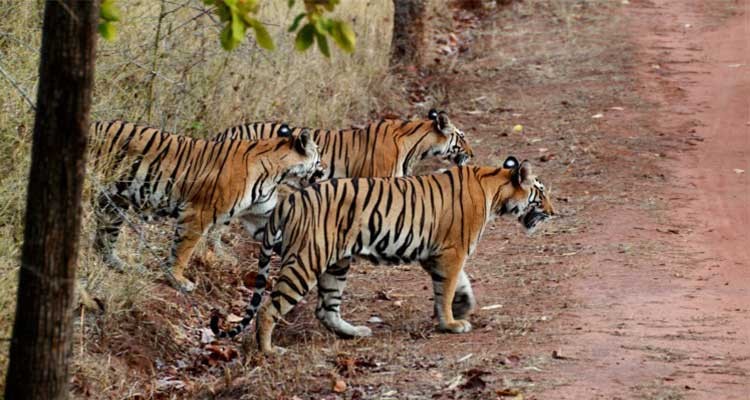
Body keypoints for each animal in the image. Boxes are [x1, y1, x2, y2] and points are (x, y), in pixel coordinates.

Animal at [88, 120, 324, 292]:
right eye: (319, 158)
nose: (323, 173)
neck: (277, 172)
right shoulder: (198, 213)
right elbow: (183, 250)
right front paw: (178, 280)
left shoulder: (262, 215)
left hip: (114, 204)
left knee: (104, 240)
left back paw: (120, 265)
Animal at [209, 156, 556, 354]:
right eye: (541, 193)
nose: (555, 212)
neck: (495, 189)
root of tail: (290, 201)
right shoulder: (453, 251)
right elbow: (447, 288)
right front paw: (451, 323)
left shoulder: (436, 253)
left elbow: (458, 283)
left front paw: (463, 306)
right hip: (306, 261)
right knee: (269, 308)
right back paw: (269, 351)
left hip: (337, 264)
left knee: (326, 309)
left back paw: (355, 332)